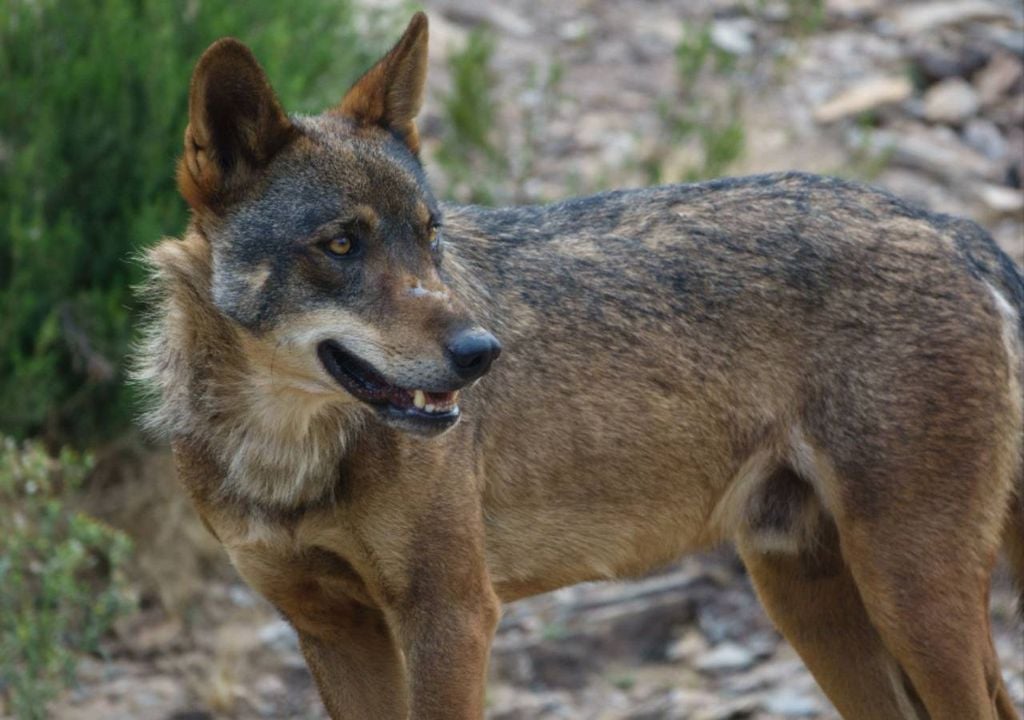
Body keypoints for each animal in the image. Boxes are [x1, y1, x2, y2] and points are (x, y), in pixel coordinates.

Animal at [136, 11, 1024, 720]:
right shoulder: (331, 630)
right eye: (341, 245)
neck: (284, 448)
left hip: (908, 595)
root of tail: (948, 226)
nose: (481, 353)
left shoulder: (452, 617)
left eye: (430, 235)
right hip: (813, 598)